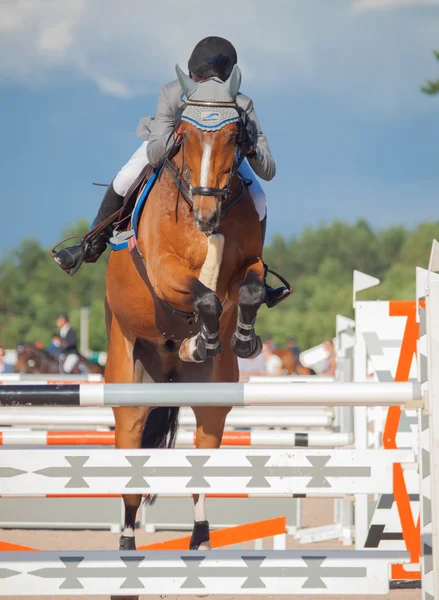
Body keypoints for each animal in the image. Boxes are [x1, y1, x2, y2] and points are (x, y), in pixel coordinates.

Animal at [105, 63, 276, 580]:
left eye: (236, 136)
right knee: (131, 459)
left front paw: (239, 340)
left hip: (212, 400)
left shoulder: (248, 263)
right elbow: (204, 298)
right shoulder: (164, 271)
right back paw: (126, 542)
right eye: (185, 134)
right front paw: (199, 338)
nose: (205, 213)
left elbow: (245, 291)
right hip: (129, 387)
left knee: (202, 458)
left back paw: (200, 539)